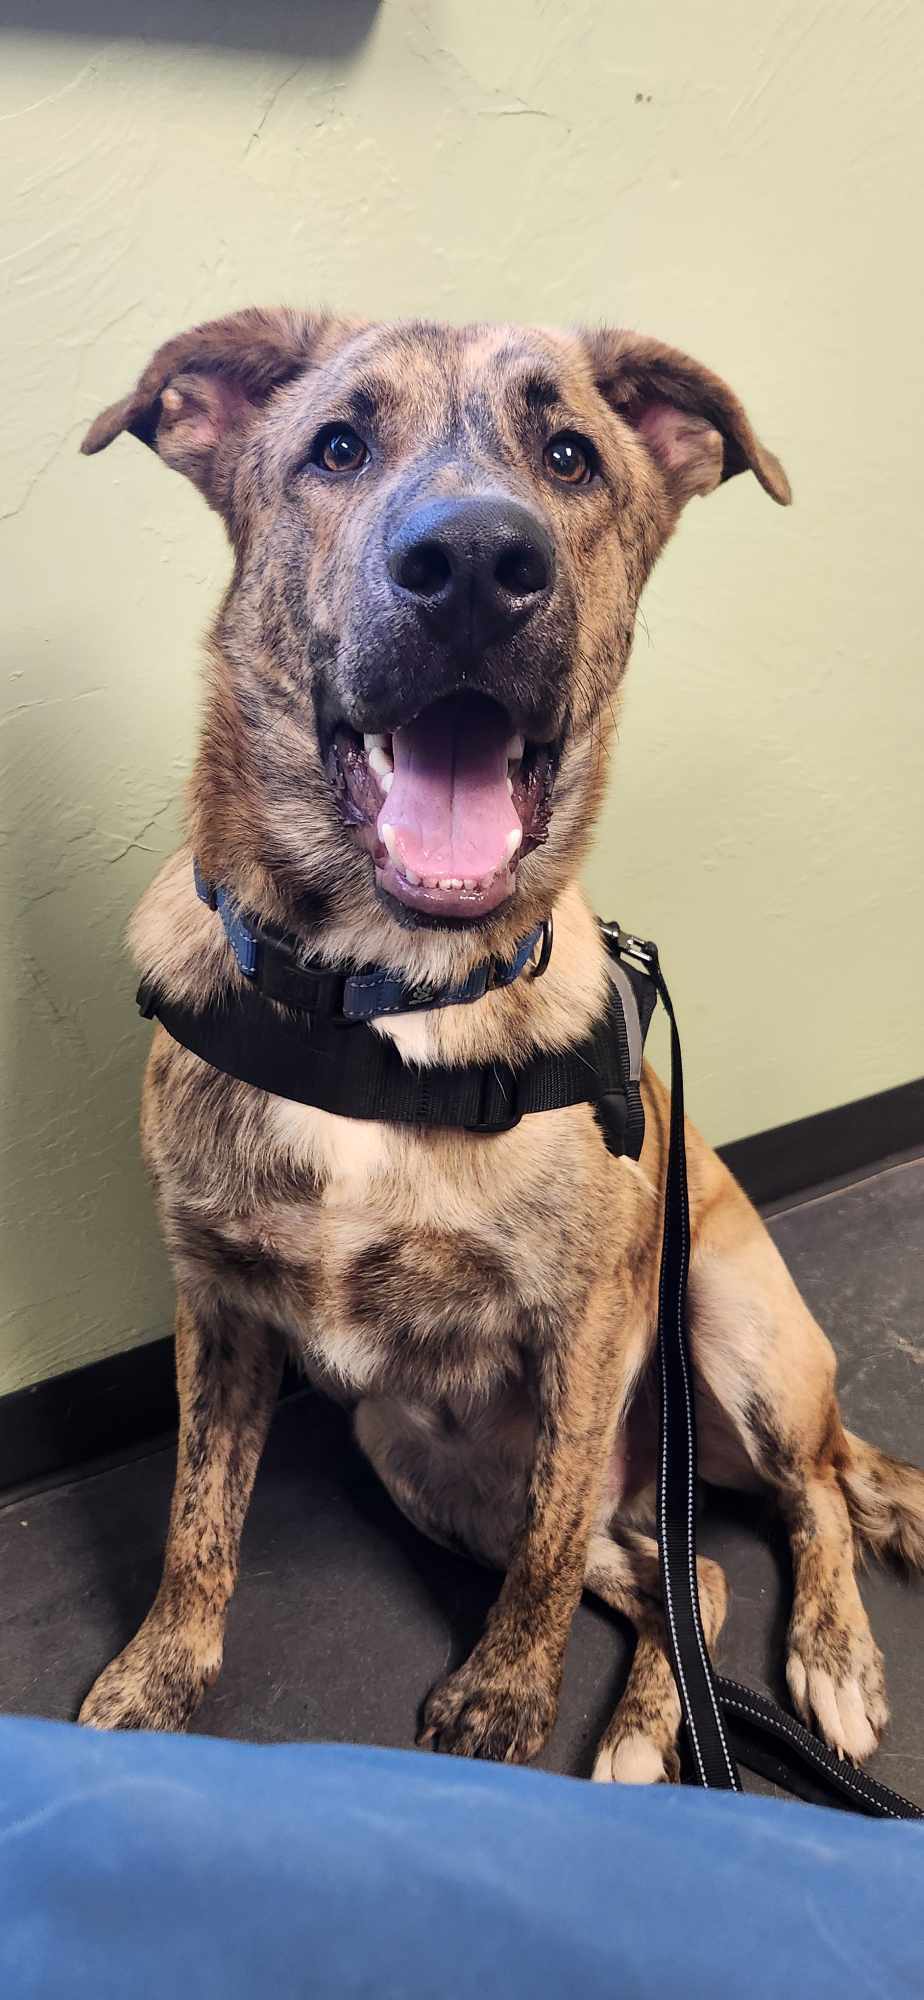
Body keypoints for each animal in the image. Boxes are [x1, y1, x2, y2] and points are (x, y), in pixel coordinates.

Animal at [79, 316, 924, 1784]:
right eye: (337, 446)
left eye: (572, 456)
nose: (476, 563)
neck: (385, 994)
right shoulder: (221, 1306)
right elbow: (197, 1520)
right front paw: (159, 1676)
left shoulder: (586, 1324)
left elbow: (536, 1567)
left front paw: (506, 1692)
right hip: (418, 1453)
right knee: (688, 1577)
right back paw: (650, 1725)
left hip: (731, 1330)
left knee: (799, 1497)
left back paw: (830, 1656)